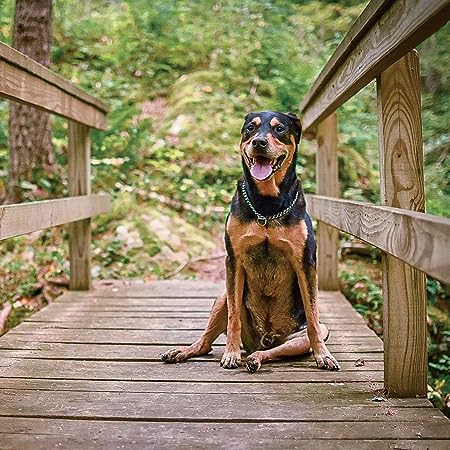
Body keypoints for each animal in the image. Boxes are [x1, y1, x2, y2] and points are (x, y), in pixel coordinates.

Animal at [160, 111, 340, 372]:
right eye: (250, 128)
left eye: (279, 128)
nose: (259, 142)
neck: (267, 205)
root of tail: (263, 339)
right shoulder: (233, 261)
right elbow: (233, 316)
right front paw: (231, 353)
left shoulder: (306, 263)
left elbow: (314, 316)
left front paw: (323, 356)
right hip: (222, 296)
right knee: (206, 343)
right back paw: (185, 352)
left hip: (294, 338)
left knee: (278, 349)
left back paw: (256, 358)